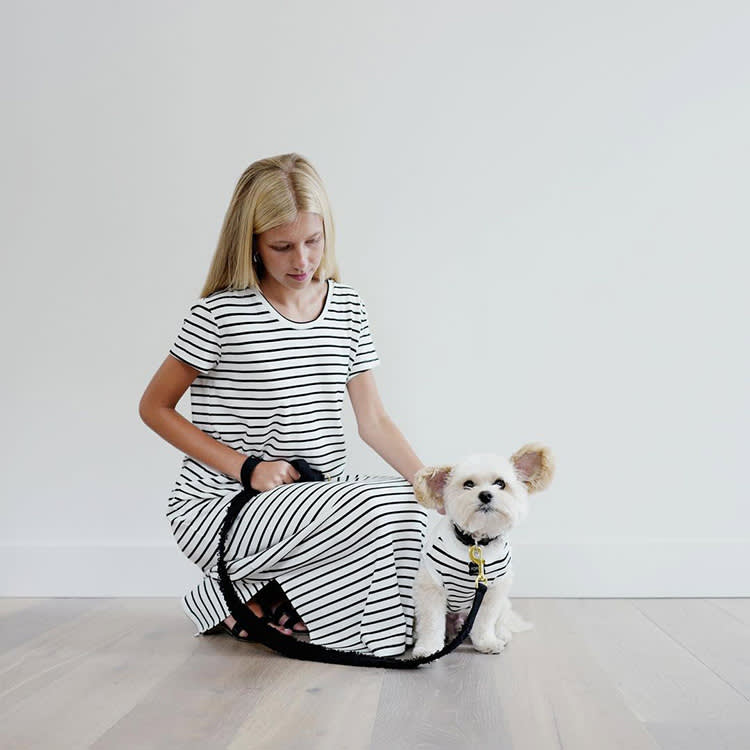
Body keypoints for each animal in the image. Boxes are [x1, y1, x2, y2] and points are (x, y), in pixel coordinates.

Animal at [412, 444, 552, 656]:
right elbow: (431, 623)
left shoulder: (493, 591)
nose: (485, 495)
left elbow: (485, 622)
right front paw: (428, 648)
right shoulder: (431, 588)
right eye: (468, 484)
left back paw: (501, 634)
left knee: (501, 620)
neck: (476, 543)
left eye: (500, 483)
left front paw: (487, 642)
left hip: (503, 603)